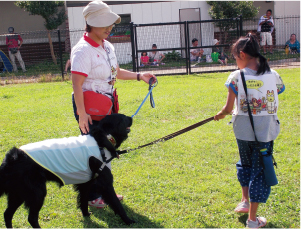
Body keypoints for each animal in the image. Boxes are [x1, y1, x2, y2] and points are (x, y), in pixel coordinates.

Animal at [0, 113, 134, 228]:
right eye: (123, 118)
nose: (131, 118)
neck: (102, 140)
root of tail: (11, 158)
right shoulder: (105, 183)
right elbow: (117, 204)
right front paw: (128, 221)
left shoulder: (86, 182)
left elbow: (83, 201)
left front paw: (86, 216)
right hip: (37, 193)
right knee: (31, 218)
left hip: (18, 194)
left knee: (7, 214)